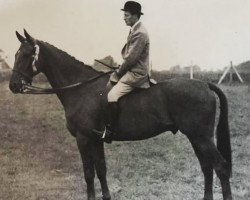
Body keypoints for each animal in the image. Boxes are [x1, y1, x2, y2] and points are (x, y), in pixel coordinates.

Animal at [9, 29, 232, 200]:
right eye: (16, 54)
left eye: (26, 55)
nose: (13, 86)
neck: (81, 89)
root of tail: (204, 84)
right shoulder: (95, 139)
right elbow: (101, 169)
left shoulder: (83, 139)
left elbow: (88, 173)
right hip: (196, 138)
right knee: (207, 167)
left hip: (201, 137)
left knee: (220, 167)